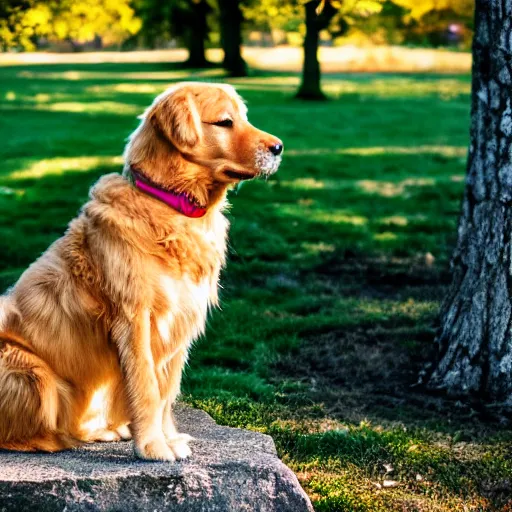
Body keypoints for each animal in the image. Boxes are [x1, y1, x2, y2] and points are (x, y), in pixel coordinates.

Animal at [0, 81, 282, 460]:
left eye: (244, 117)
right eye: (225, 122)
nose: (279, 147)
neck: (169, 204)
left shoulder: (181, 320)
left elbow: (166, 392)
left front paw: (168, 438)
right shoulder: (135, 319)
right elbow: (147, 388)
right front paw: (152, 446)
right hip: (32, 372)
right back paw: (56, 439)